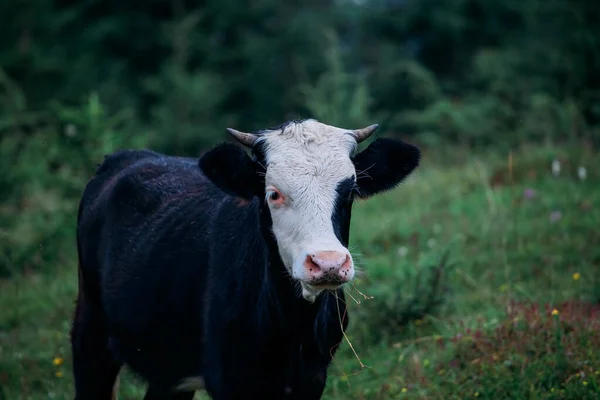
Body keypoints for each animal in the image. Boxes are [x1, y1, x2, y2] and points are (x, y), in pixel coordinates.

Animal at [71, 119, 422, 400]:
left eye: (350, 192)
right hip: (90, 335)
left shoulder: (311, 379)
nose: (328, 264)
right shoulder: (229, 380)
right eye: (273, 193)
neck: (292, 330)